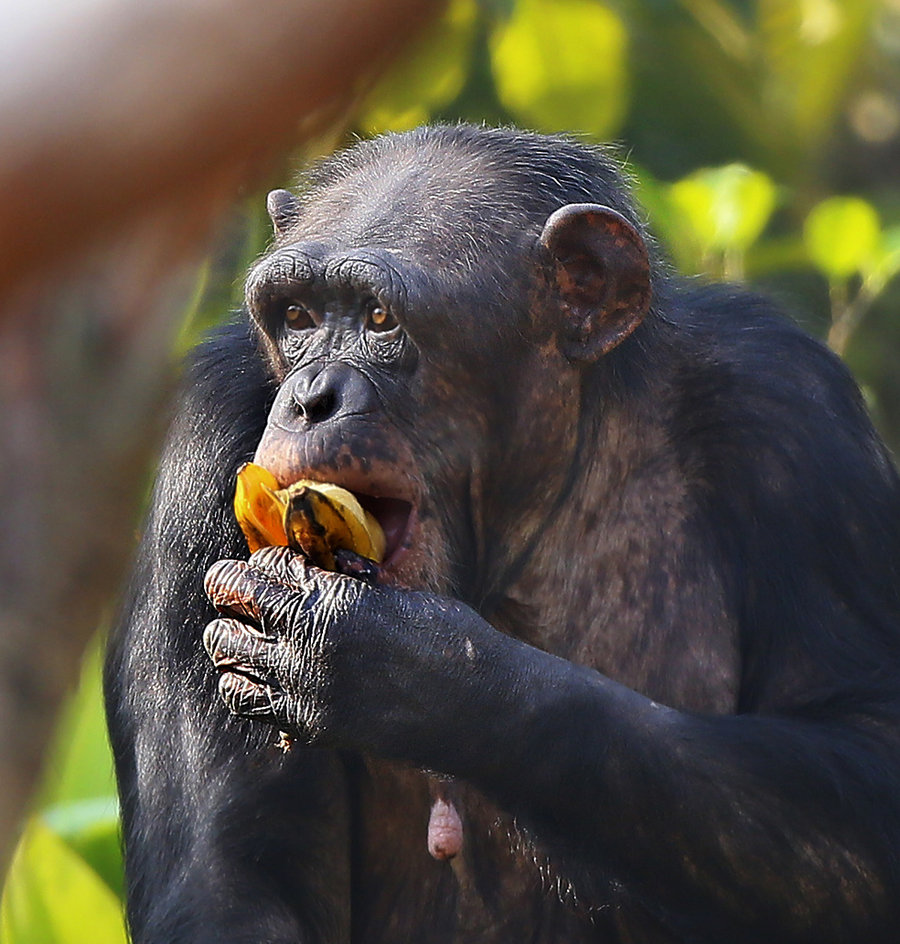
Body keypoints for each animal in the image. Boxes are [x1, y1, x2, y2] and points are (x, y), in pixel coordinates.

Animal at [107, 127, 900, 944]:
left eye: (381, 320)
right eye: (296, 317)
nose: (310, 397)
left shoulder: (796, 415)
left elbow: (867, 745)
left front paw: (416, 674)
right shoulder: (202, 438)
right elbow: (227, 871)